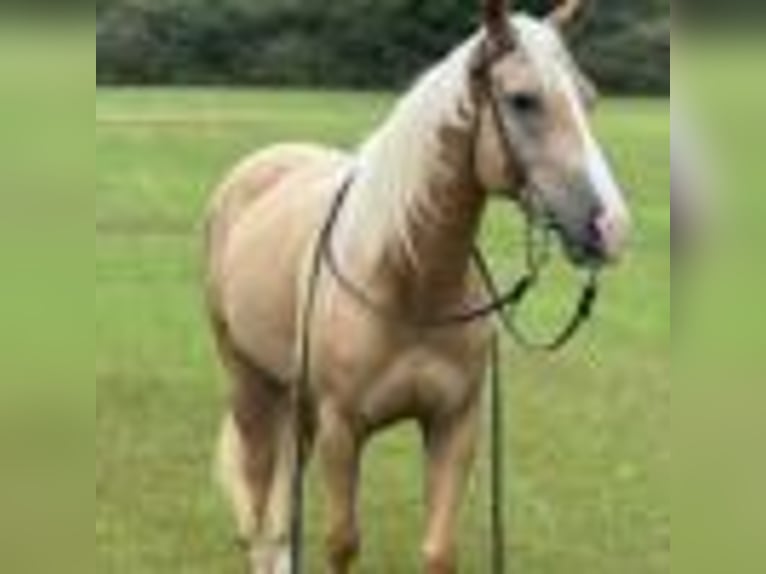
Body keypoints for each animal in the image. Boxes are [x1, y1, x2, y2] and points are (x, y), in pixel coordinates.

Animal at [204, 1, 631, 572]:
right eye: (523, 100)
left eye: (588, 98)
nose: (611, 227)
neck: (410, 281)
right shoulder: (343, 429)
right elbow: (341, 543)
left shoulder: (454, 424)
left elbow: (438, 550)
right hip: (249, 381)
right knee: (257, 494)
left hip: (297, 397)